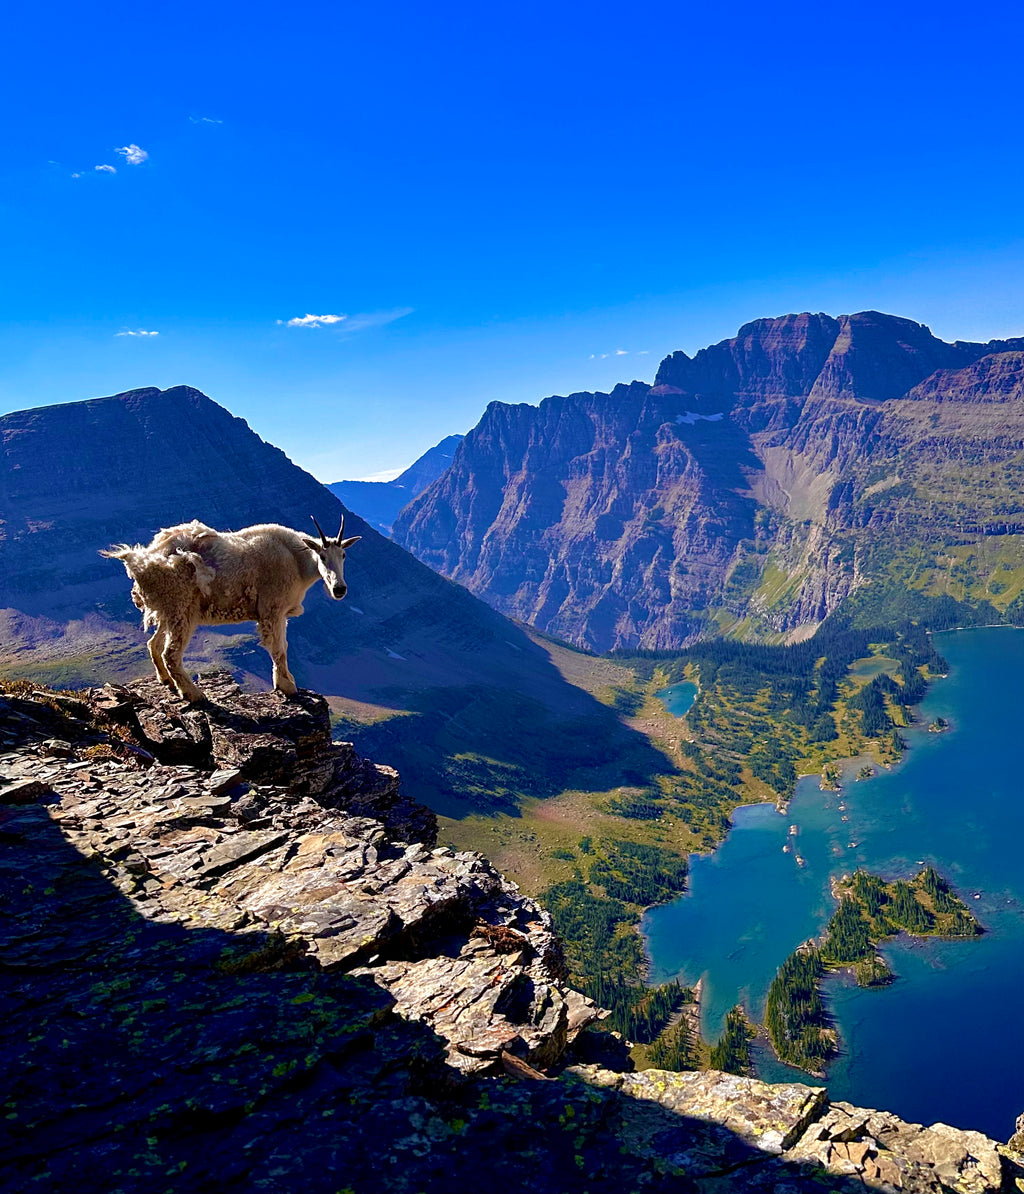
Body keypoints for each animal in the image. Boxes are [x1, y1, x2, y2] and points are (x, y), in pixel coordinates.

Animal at [101, 516, 361, 702]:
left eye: (344, 555)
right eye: (322, 556)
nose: (339, 589)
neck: (297, 561)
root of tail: (140, 561)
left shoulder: (280, 614)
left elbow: (283, 647)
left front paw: (287, 681)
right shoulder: (272, 610)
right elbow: (279, 650)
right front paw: (287, 687)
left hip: (169, 610)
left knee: (153, 644)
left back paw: (167, 682)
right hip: (182, 608)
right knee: (171, 654)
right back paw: (194, 694)